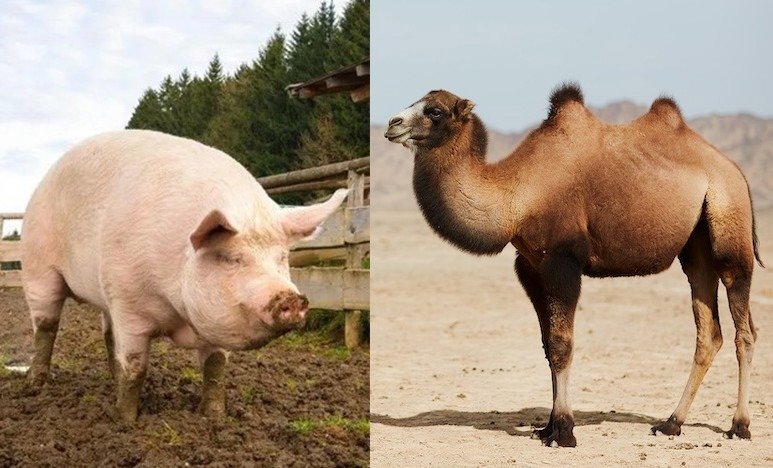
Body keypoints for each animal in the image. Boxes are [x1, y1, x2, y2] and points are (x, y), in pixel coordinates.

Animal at [20, 130, 348, 423]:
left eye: (281, 258)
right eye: (232, 259)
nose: (290, 297)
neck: (176, 312)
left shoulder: (214, 325)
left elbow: (215, 367)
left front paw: (215, 418)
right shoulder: (128, 303)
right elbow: (136, 367)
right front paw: (124, 422)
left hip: (104, 293)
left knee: (108, 335)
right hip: (38, 267)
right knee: (46, 326)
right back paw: (34, 386)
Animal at [384, 84, 763, 447]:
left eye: (434, 111)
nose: (392, 123)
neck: (517, 195)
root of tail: (737, 172)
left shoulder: (562, 260)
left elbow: (562, 344)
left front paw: (564, 432)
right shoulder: (531, 267)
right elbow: (547, 344)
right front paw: (547, 428)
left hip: (729, 224)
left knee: (744, 327)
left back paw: (739, 426)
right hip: (695, 246)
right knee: (708, 329)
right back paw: (671, 424)